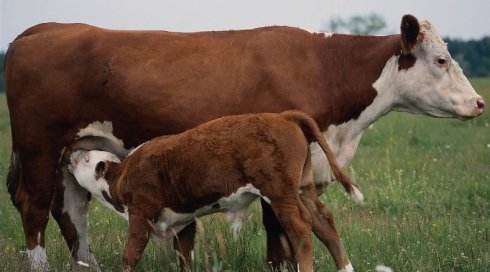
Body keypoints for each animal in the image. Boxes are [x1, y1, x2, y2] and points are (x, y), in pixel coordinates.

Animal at [67, 110, 362, 272]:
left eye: (87, 159)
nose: (71, 155)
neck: (122, 174)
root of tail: (282, 115)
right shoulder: (184, 222)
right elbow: (184, 256)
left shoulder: (140, 214)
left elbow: (130, 255)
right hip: (302, 188)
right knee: (323, 222)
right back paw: (346, 267)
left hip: (279, 192)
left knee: (301, 227)